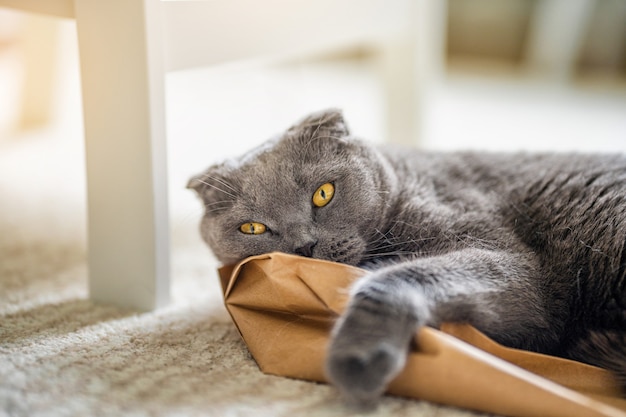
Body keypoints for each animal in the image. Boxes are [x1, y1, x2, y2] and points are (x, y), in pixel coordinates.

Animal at [188, 108, 624, 404]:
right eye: (253, 228)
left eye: (323, 194)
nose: (304, 247)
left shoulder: (509, 262)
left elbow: (397, 276)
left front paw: (357, 359)